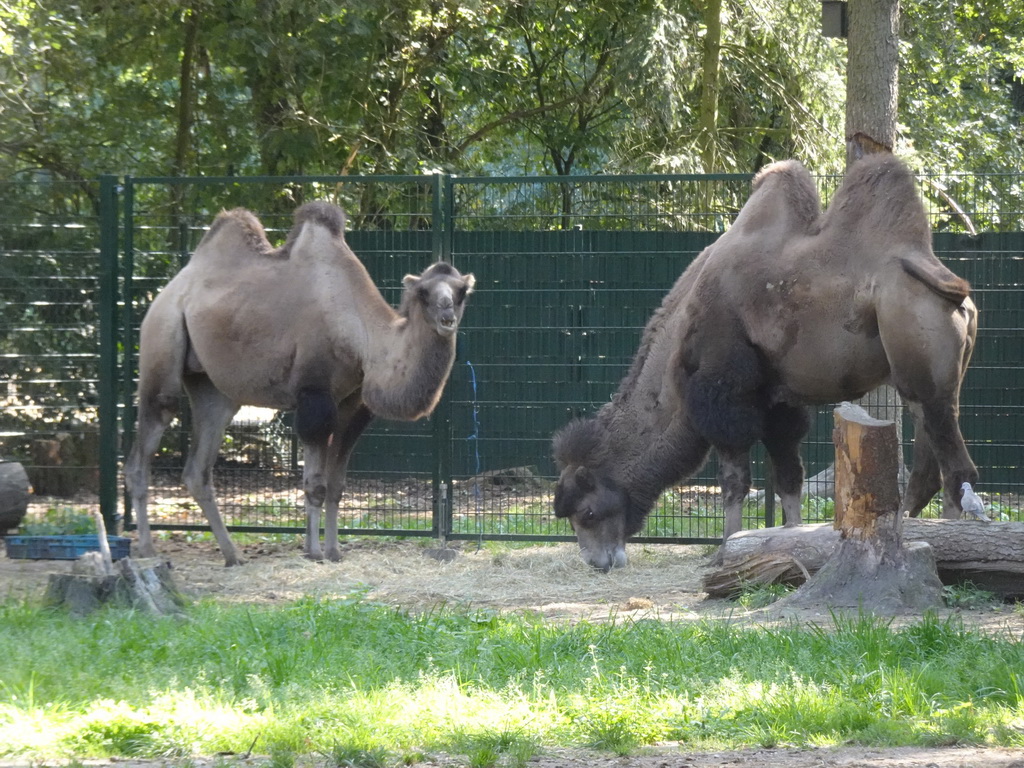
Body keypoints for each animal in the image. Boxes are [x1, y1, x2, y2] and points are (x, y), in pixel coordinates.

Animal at [126, 202, 475, 565]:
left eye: (462, 291)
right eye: (423, 292)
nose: (447, 317)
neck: (361, 334)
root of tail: (169, 290)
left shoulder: (352, 403)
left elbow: (336, 486)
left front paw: (333, 551)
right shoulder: (314, 394)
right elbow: (314, 485)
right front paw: (314, 552)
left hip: (212, 387)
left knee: (199, 465)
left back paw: (233, 554)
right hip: (162, 335)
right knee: (151, 430)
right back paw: (148, 550)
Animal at [557, 154, 978, 573]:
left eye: (586, 513)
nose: (597, 562)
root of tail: (958, 295)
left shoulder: (725, 398)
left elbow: (735, 483)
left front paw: (725, 551)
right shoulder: (779, 402)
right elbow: (789, 478)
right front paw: (788, 543)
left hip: (923, 377)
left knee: (956, 469)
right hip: (930, 383)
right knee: (929, 469)